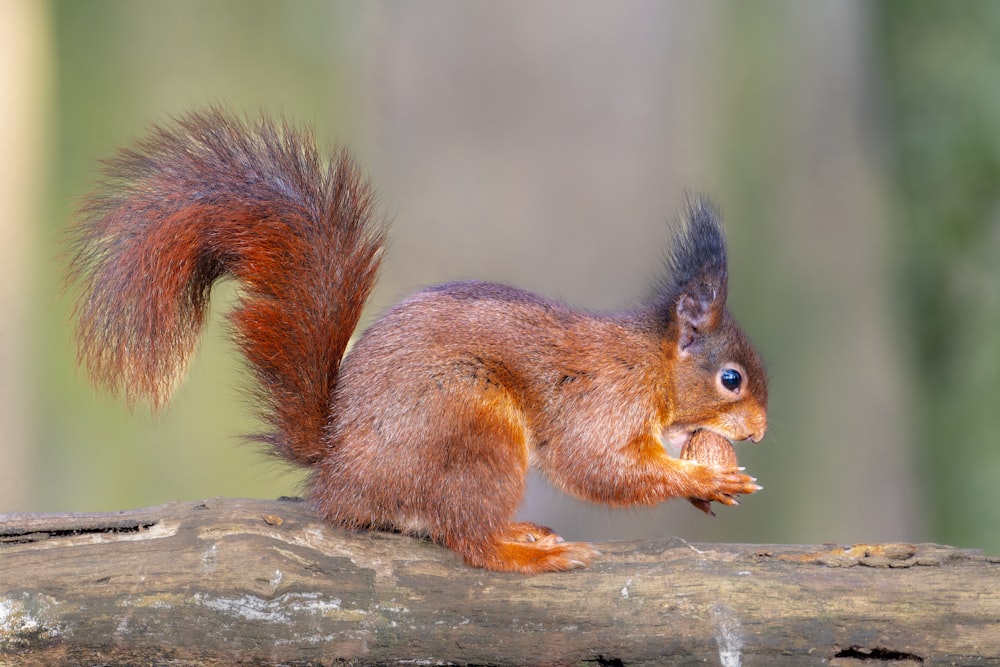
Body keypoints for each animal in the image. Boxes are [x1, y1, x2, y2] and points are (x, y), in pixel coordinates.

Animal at [66, 109, 768, 576]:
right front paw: (704, 479)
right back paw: (524, 552)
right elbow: (598, 466)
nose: (760, 433)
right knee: (468, 539)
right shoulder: (603, 401)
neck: (650, 365)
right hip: (474, 426)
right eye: (730, 378)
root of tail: (341, 474)